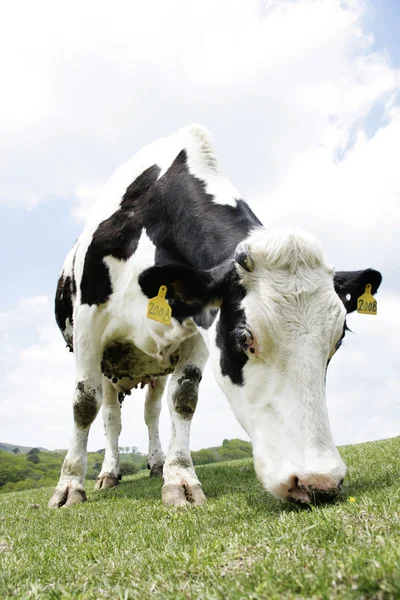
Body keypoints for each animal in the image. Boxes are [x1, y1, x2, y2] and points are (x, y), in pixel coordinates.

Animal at [49, 124, 382, 508]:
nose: (318, 481)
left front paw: (179, 478)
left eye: (337, 340)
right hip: (108, 363)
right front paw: (69, 487)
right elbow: (84, 404)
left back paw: (155, 463)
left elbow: (183, 398)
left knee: (151, 411)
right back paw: (108, 473)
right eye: (244, 337)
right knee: (110, 417)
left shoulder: (197, 330)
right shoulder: (89, 324)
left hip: (152, 367)